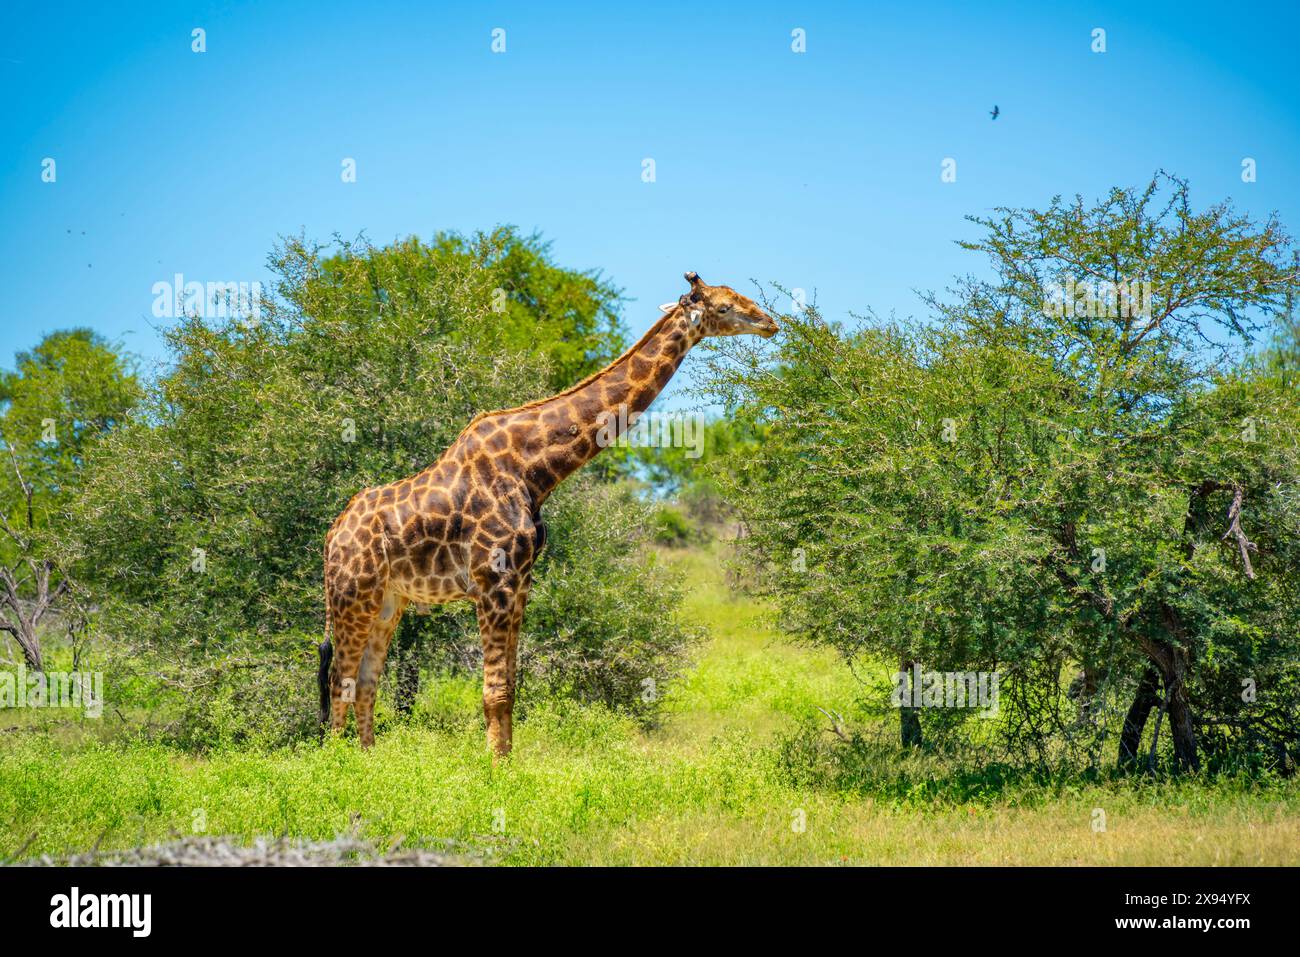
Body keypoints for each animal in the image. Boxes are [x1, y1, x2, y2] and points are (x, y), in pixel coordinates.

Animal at [320, 271, 778, 755]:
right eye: (724, 307)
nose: (770, 323)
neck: (533, 469)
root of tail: (331, 536)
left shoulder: (521, 580)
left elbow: (510, 687)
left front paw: (507, 762)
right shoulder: (494, 580)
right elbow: (494, 691)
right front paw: (493, 767)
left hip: (388, 600)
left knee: (365, 681)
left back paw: (369, 759)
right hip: (353, 594)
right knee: (339, 681)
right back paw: (339, 765)